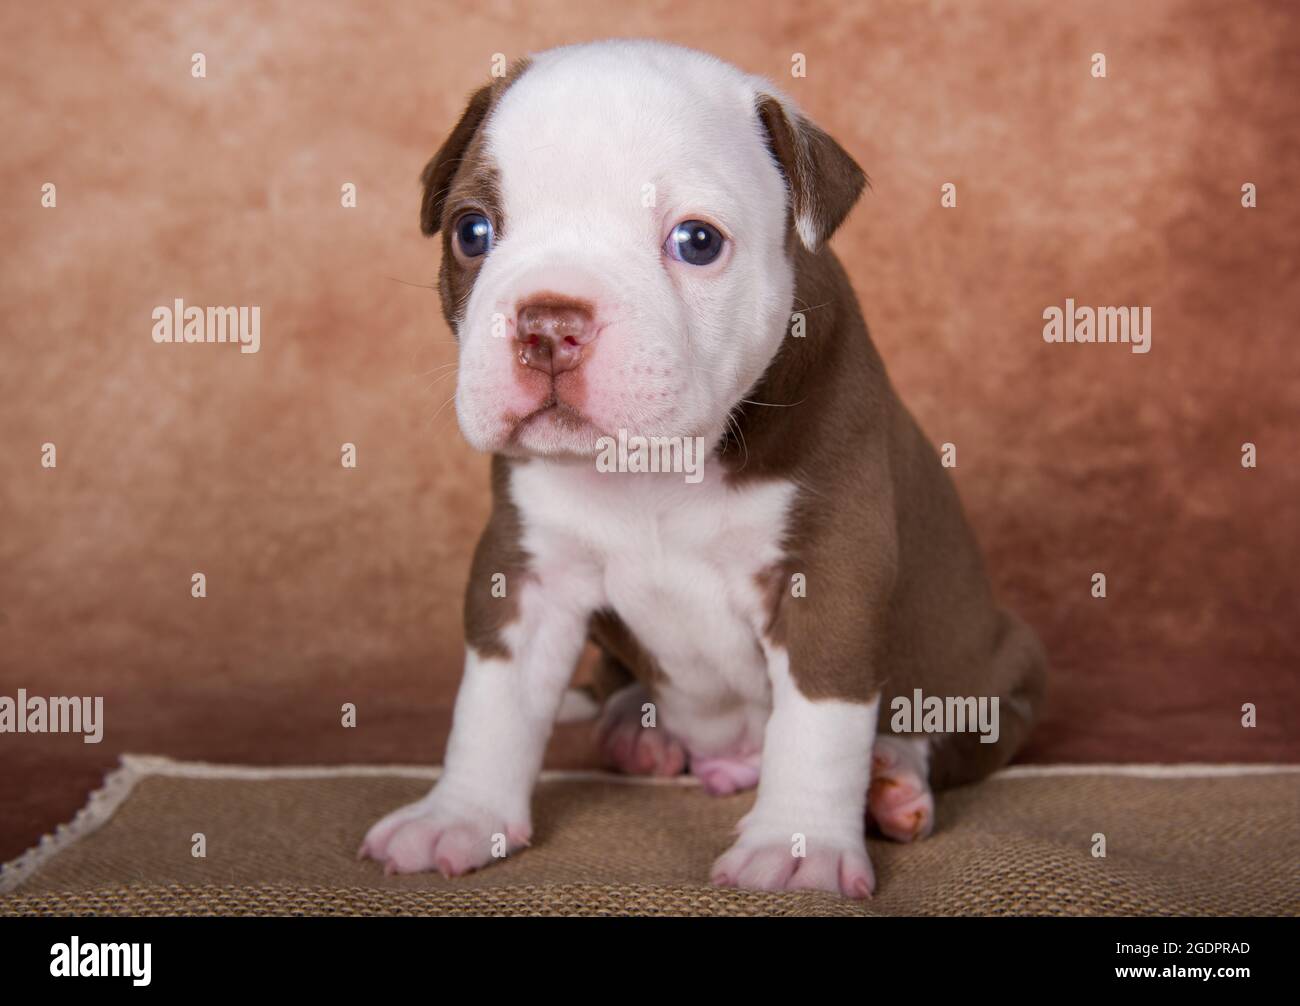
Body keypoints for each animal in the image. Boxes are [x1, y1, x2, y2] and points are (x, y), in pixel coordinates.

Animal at [361, 43, 1050, 904]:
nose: (549, 324)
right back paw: (636, 730)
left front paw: (798, 846)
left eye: (696, 241)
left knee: (953, 735)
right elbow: (492, 701)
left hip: (999, 670)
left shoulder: (830, 571)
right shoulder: (524, 572)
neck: (658, 467)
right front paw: (459, 815)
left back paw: (893, 781)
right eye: (472, 231)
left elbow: (821, 719)